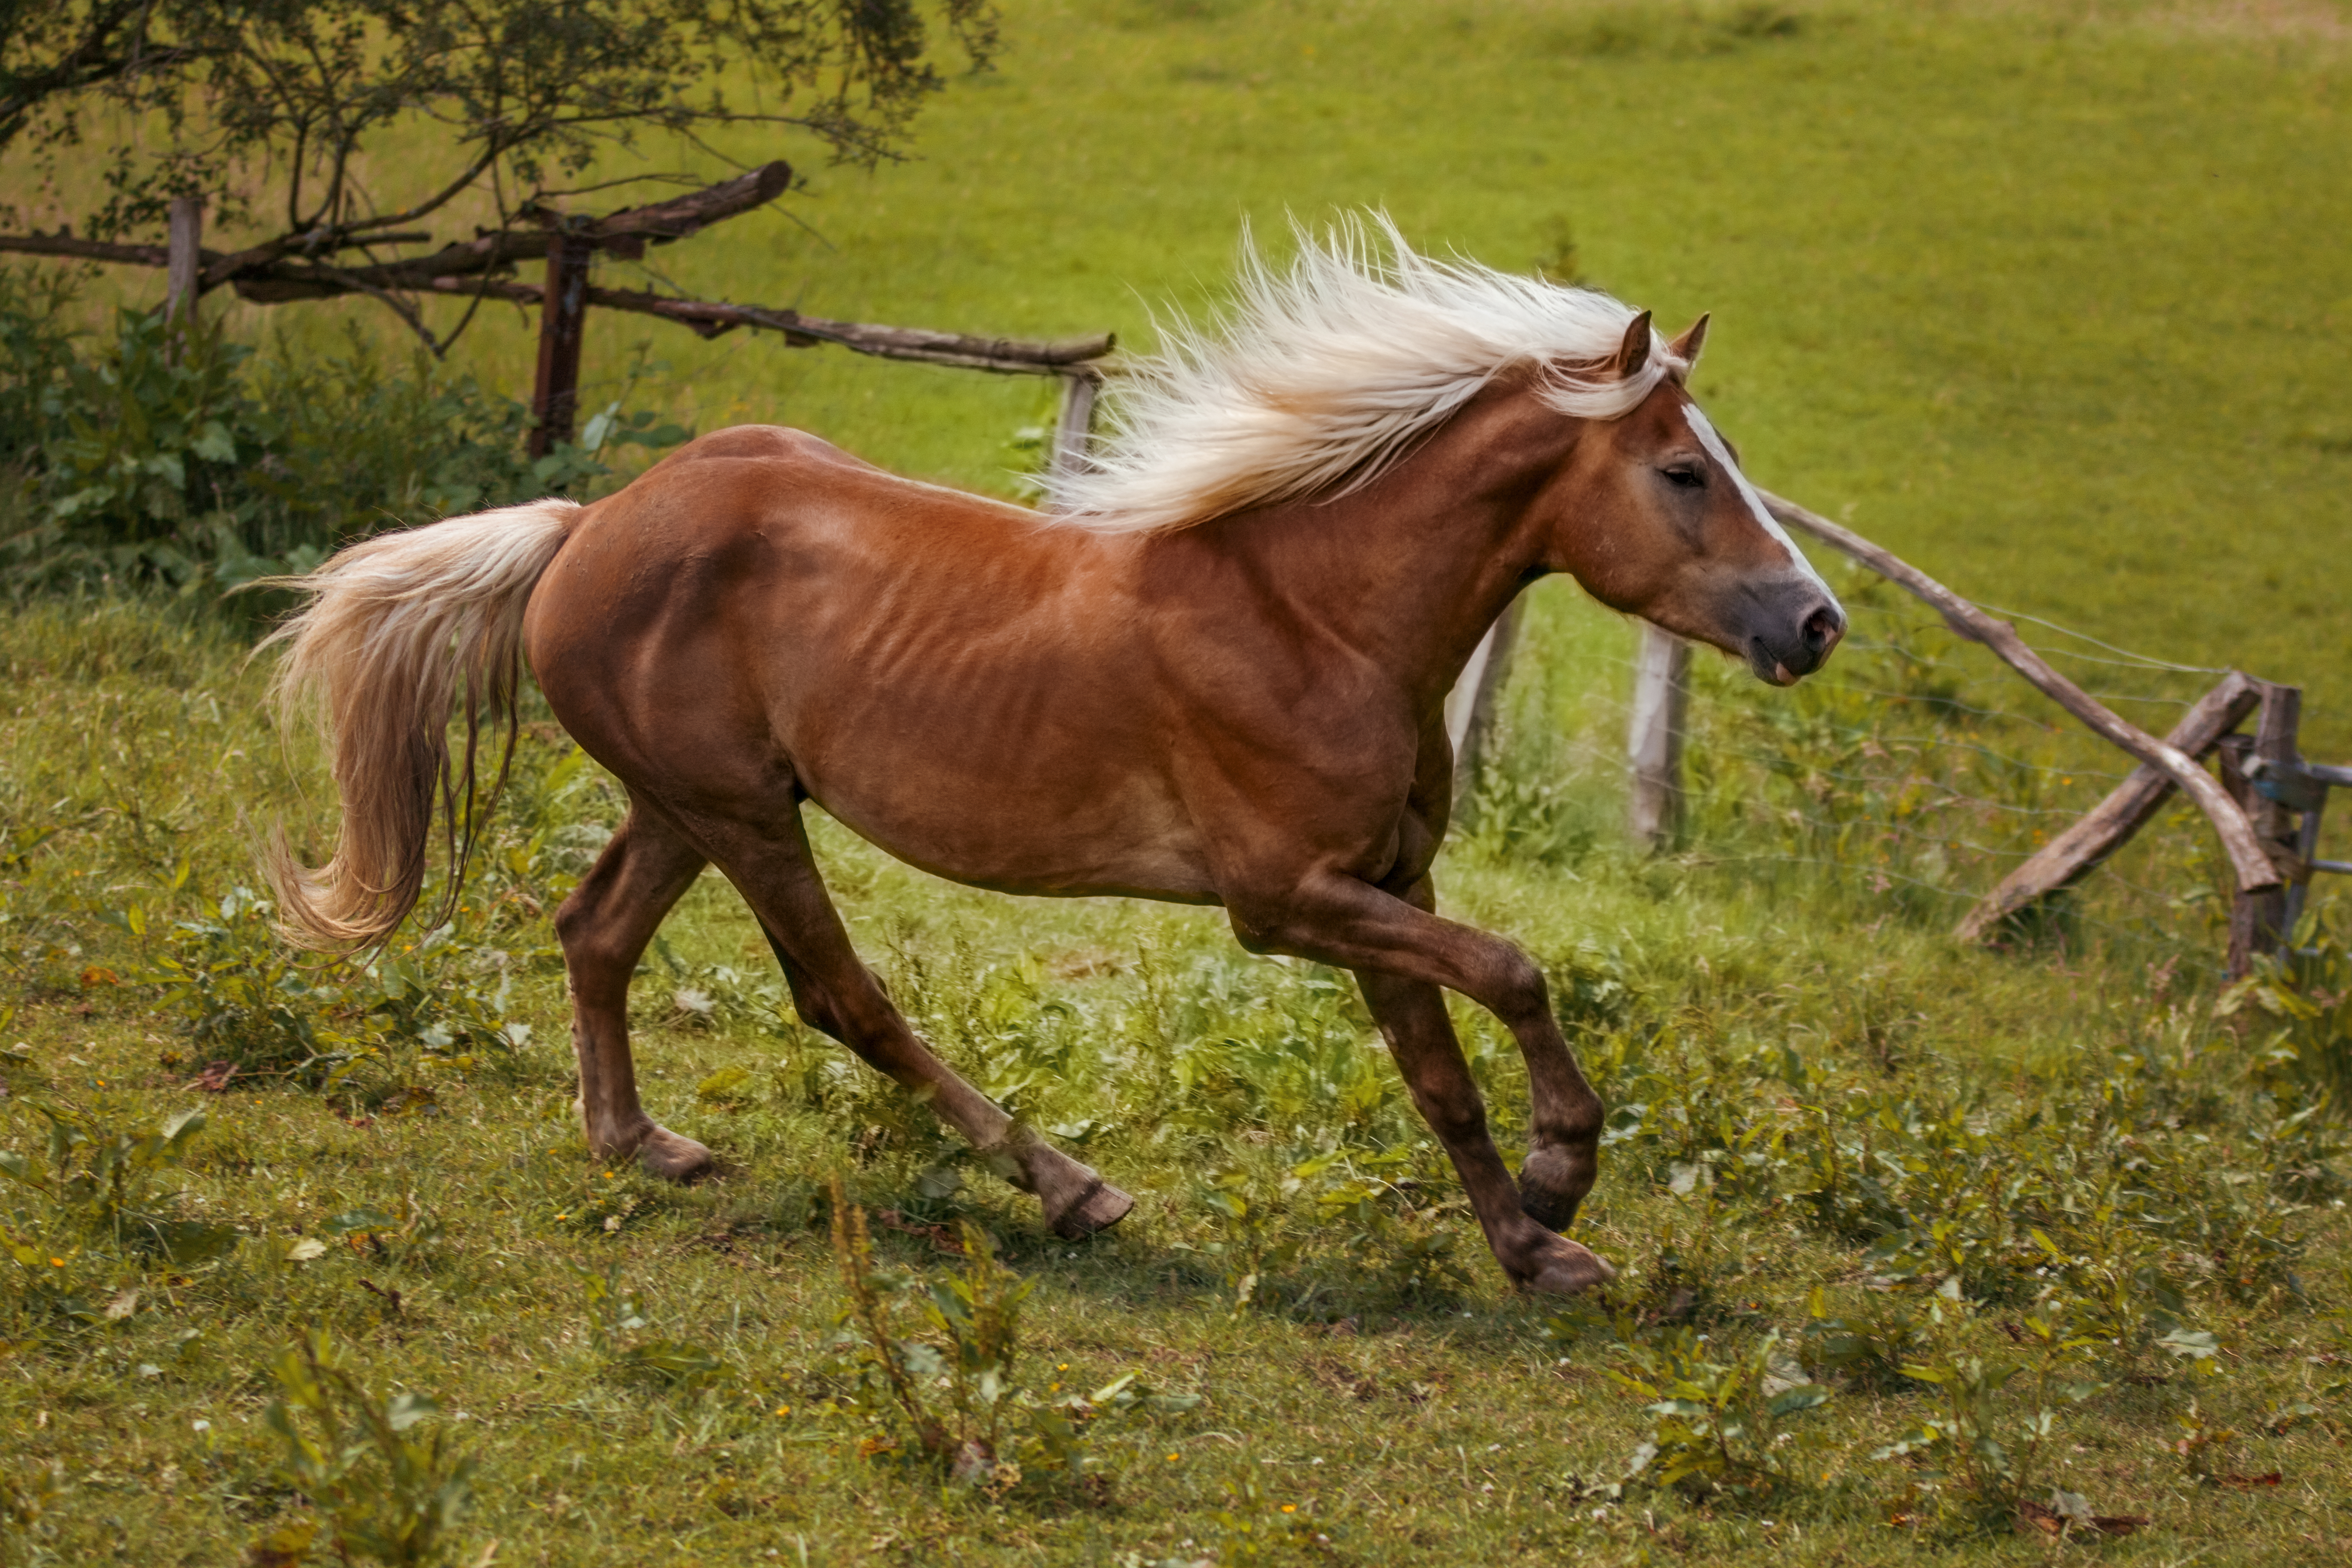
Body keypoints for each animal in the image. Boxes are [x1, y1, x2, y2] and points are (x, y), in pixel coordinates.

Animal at [257, 223, 1834, 1298]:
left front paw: (1533, 1245)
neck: (1312, 618)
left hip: (688, 803)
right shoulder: (1285, 903)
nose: (1814, 622)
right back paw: (1073, 1188)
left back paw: (640, 1144)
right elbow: (1514, 970)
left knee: (594, 934)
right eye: (1683, 472)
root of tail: (588, 523)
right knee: (842, 997)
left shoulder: (1385, 884)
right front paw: (1566, 1176)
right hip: (742, 813)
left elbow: (1439, 1067)